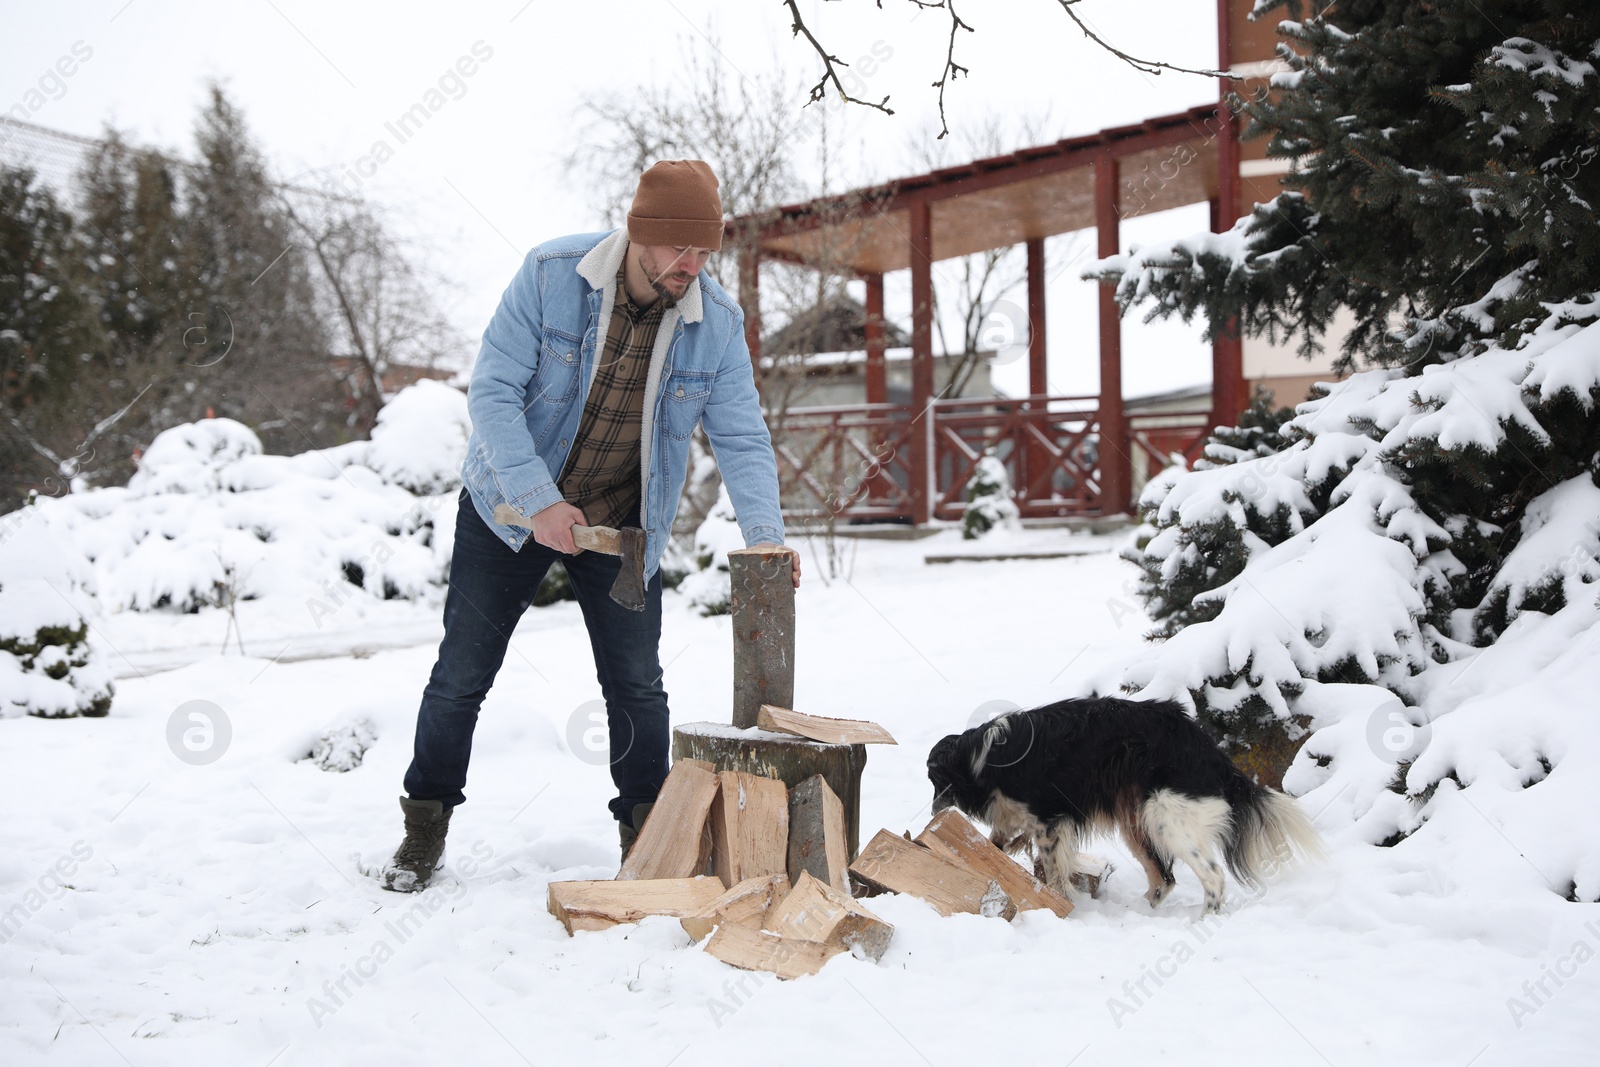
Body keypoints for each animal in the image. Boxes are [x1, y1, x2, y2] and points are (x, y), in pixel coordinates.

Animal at [928, 697, 1324, 915]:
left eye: (934, 779)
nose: (934, 813)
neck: (985, 757)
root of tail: (1213, 753)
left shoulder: (1050, 819)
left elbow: (1053, 872)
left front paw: (1058, 903)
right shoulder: (1024, 819)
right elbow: (999, 842)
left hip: (1167, 815)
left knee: (1211, 875)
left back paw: (1203, 919)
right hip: (1137, 820)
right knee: (1164, 880)